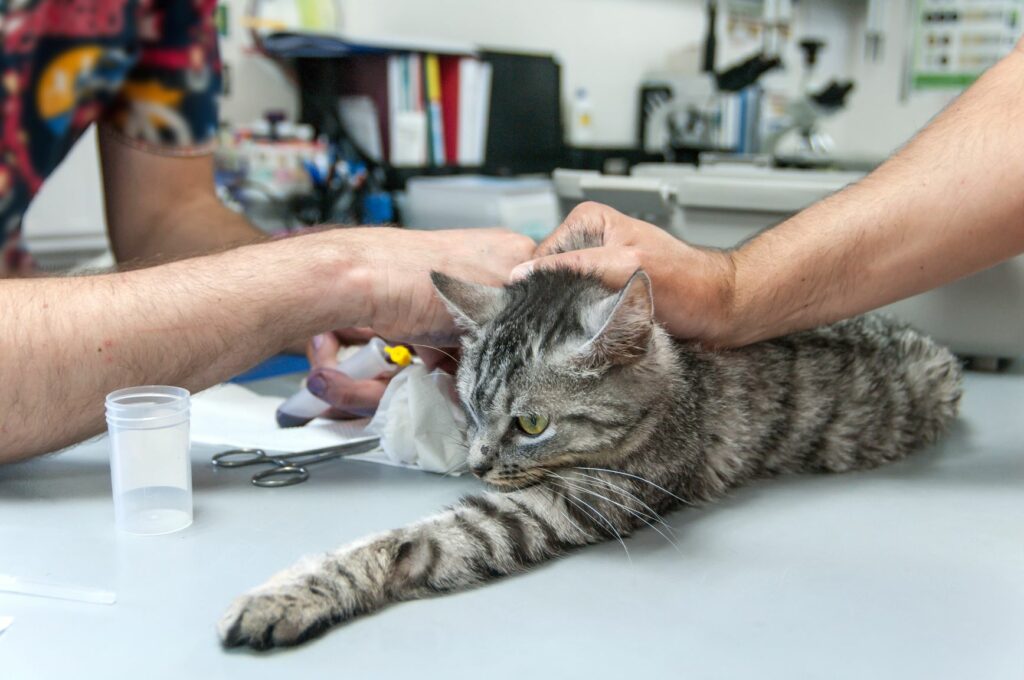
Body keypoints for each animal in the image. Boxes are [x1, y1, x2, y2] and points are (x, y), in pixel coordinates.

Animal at [216, 264, 958, 647]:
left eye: (531, 423)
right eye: (471, 403)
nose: (477, 463)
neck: (679, 383)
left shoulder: (569, 502)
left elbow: (419, 541)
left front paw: (292, 595)